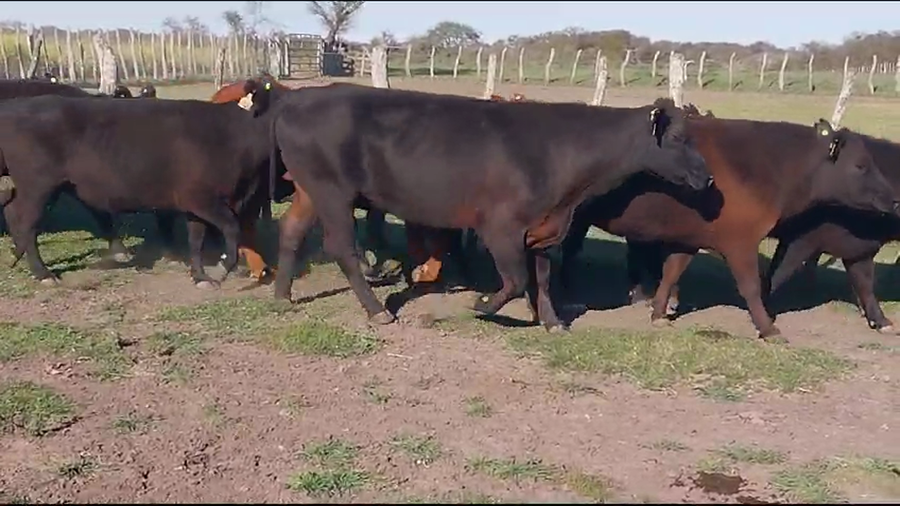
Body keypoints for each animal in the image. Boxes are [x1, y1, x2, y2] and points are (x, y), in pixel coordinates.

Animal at [0, 91, 275, 288]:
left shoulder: (197, 205)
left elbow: (197, 238)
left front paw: (200, 276)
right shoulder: (203, 199)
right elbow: (230, 227)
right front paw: (221, 266)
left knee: (14, 212)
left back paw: (18, 256)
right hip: (38, 187)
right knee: (27, 222)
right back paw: (43, 273)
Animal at [241, 81, 713, 329]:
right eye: (677, 138)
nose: (707, 177)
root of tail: (298, 97)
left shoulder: (543, 230)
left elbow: (542, 280)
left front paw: (552, 321)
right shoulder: (500, 227)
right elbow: (516, 280)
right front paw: (483, 305)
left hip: (309, 191)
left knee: (292, 233)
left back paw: (282, 296)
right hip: (333, 192)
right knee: (342, 247)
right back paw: (377, 311)